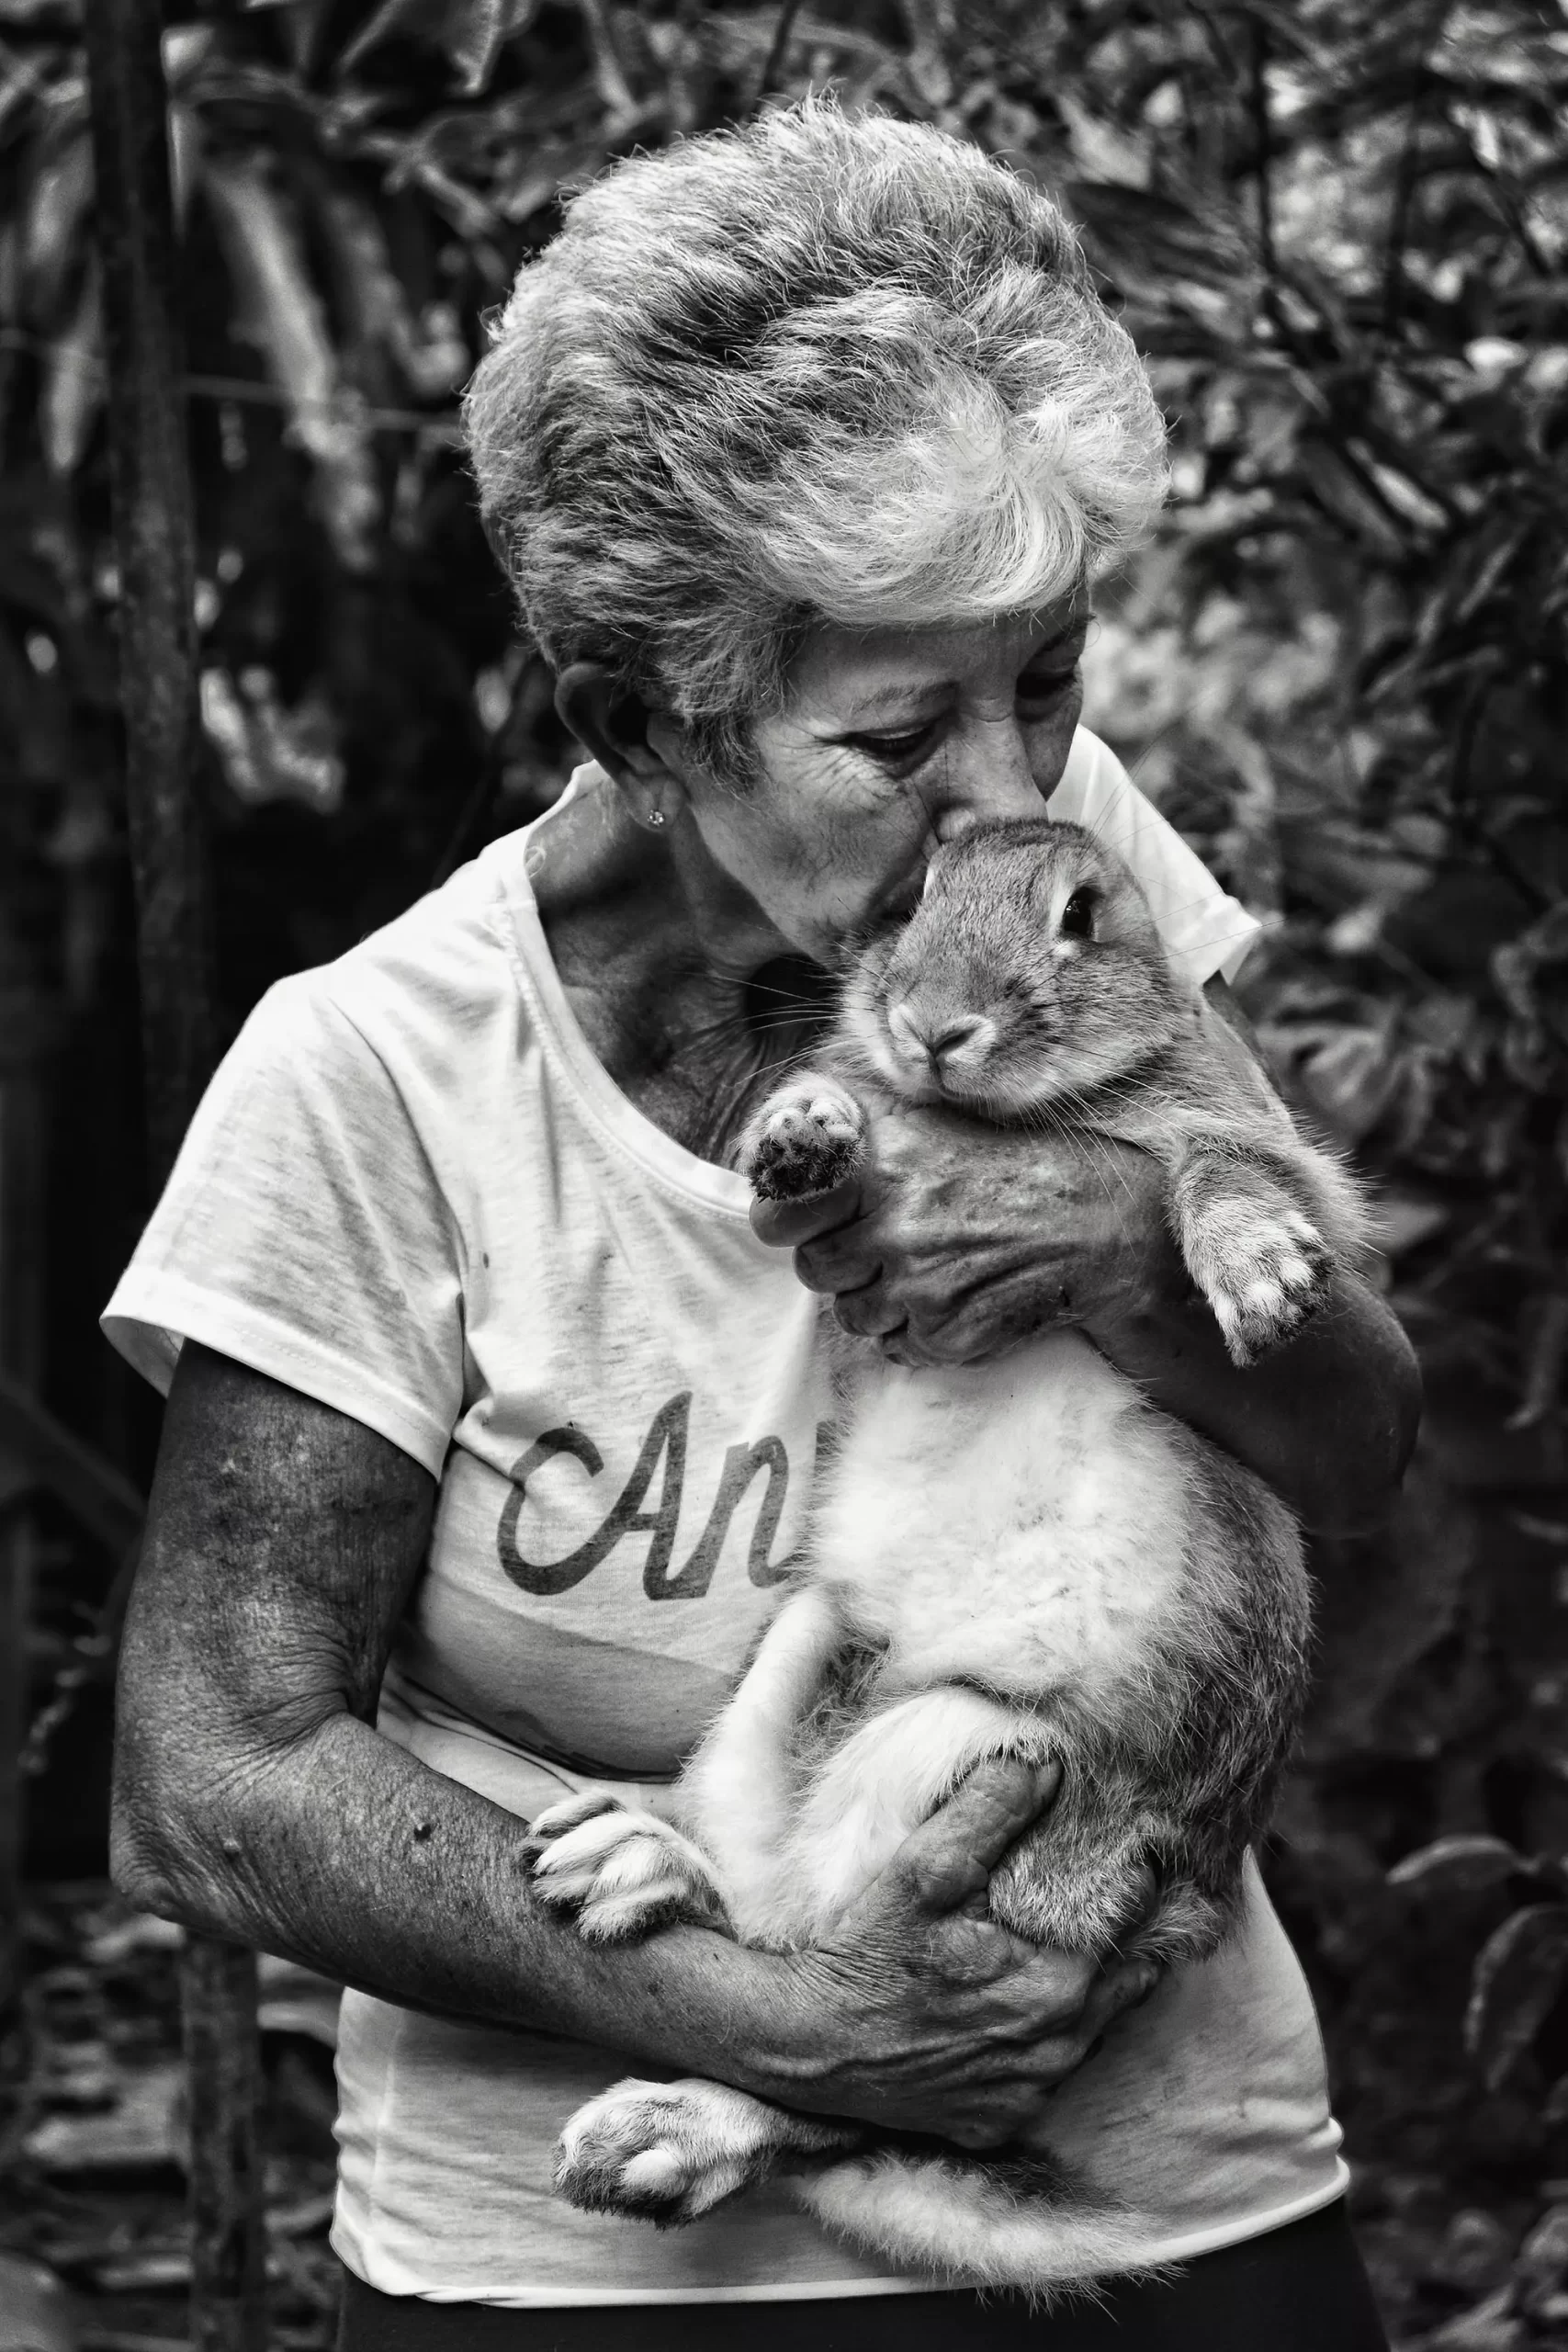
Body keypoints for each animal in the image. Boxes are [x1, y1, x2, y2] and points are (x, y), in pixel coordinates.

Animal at [521, 816, 1367, 2297]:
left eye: (1081, 914)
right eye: (910, 894)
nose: (930, 1026)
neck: (1004, 1117)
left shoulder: (1231, 1129)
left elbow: (1225, 1170)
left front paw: (1263, 1280)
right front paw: (804, 1134)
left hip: (968, 1745)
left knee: (846, 2053)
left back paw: (658, 2116)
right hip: (805, 1657)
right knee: (786, 1958)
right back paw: (630, 1873)